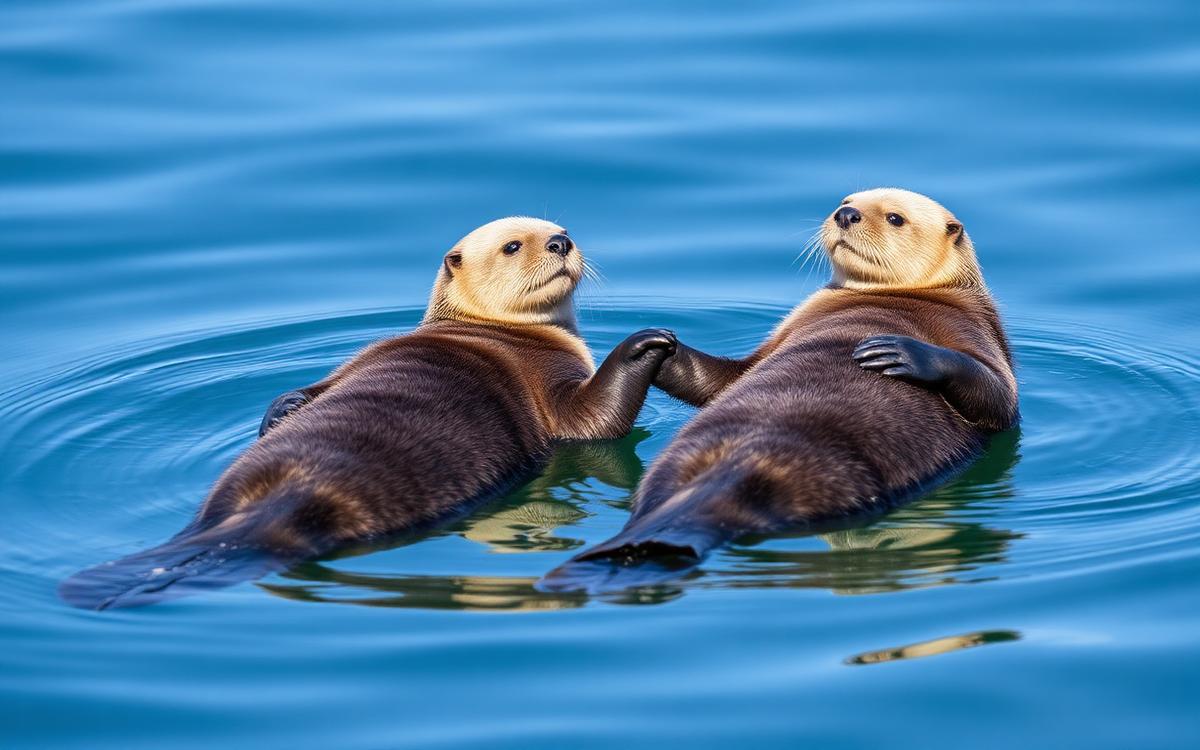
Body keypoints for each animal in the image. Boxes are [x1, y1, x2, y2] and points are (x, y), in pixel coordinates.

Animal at [62, 217, 676, 609]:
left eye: (560, 228)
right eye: (511, 246)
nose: (560, 240)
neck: (495, 328)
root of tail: (281, 500)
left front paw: (284, 409)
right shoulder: (549, 388)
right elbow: (590, 420)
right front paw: (646, 343)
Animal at [540, 189, 1017, 591]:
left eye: (895, 218)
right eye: (846, 200)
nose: (846, 215)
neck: (901, 295)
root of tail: (734, 476)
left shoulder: (978, 334)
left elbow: (996, 398)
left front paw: (898, 351)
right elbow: (723, 379)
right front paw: (657, 345)